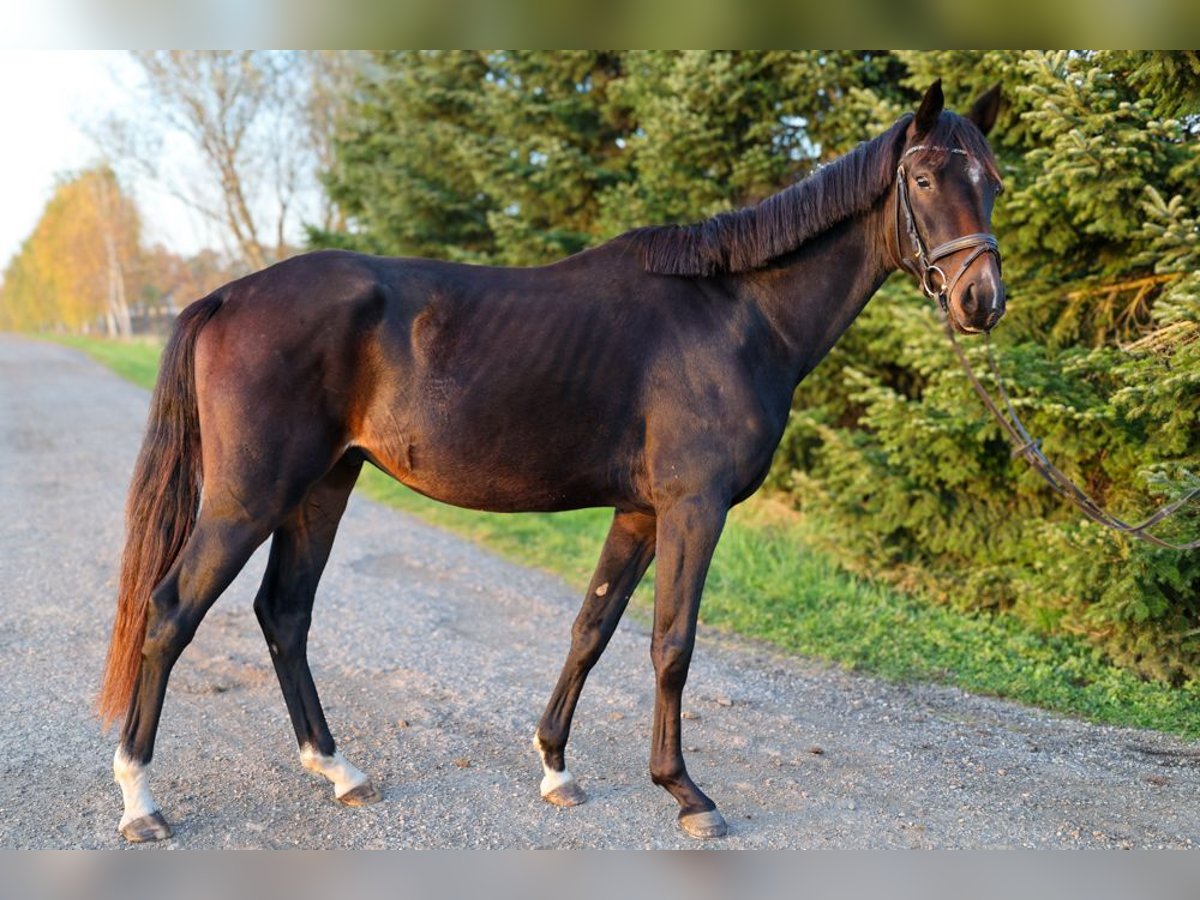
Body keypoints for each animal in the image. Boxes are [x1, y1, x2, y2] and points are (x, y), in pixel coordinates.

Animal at [100, 81, 1003, 844]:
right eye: (924, 178)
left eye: (992, 180)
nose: (980, 300)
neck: (738, 315)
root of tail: (229, 295)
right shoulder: (694, 507)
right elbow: (672, 644)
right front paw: (687, 794)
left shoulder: (640, 512)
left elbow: (592, 628)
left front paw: (555, 768)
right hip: (249, 498)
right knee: (171, 612)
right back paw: (141, 799)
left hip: (322, 484)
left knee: (285, 614)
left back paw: (339, 770)